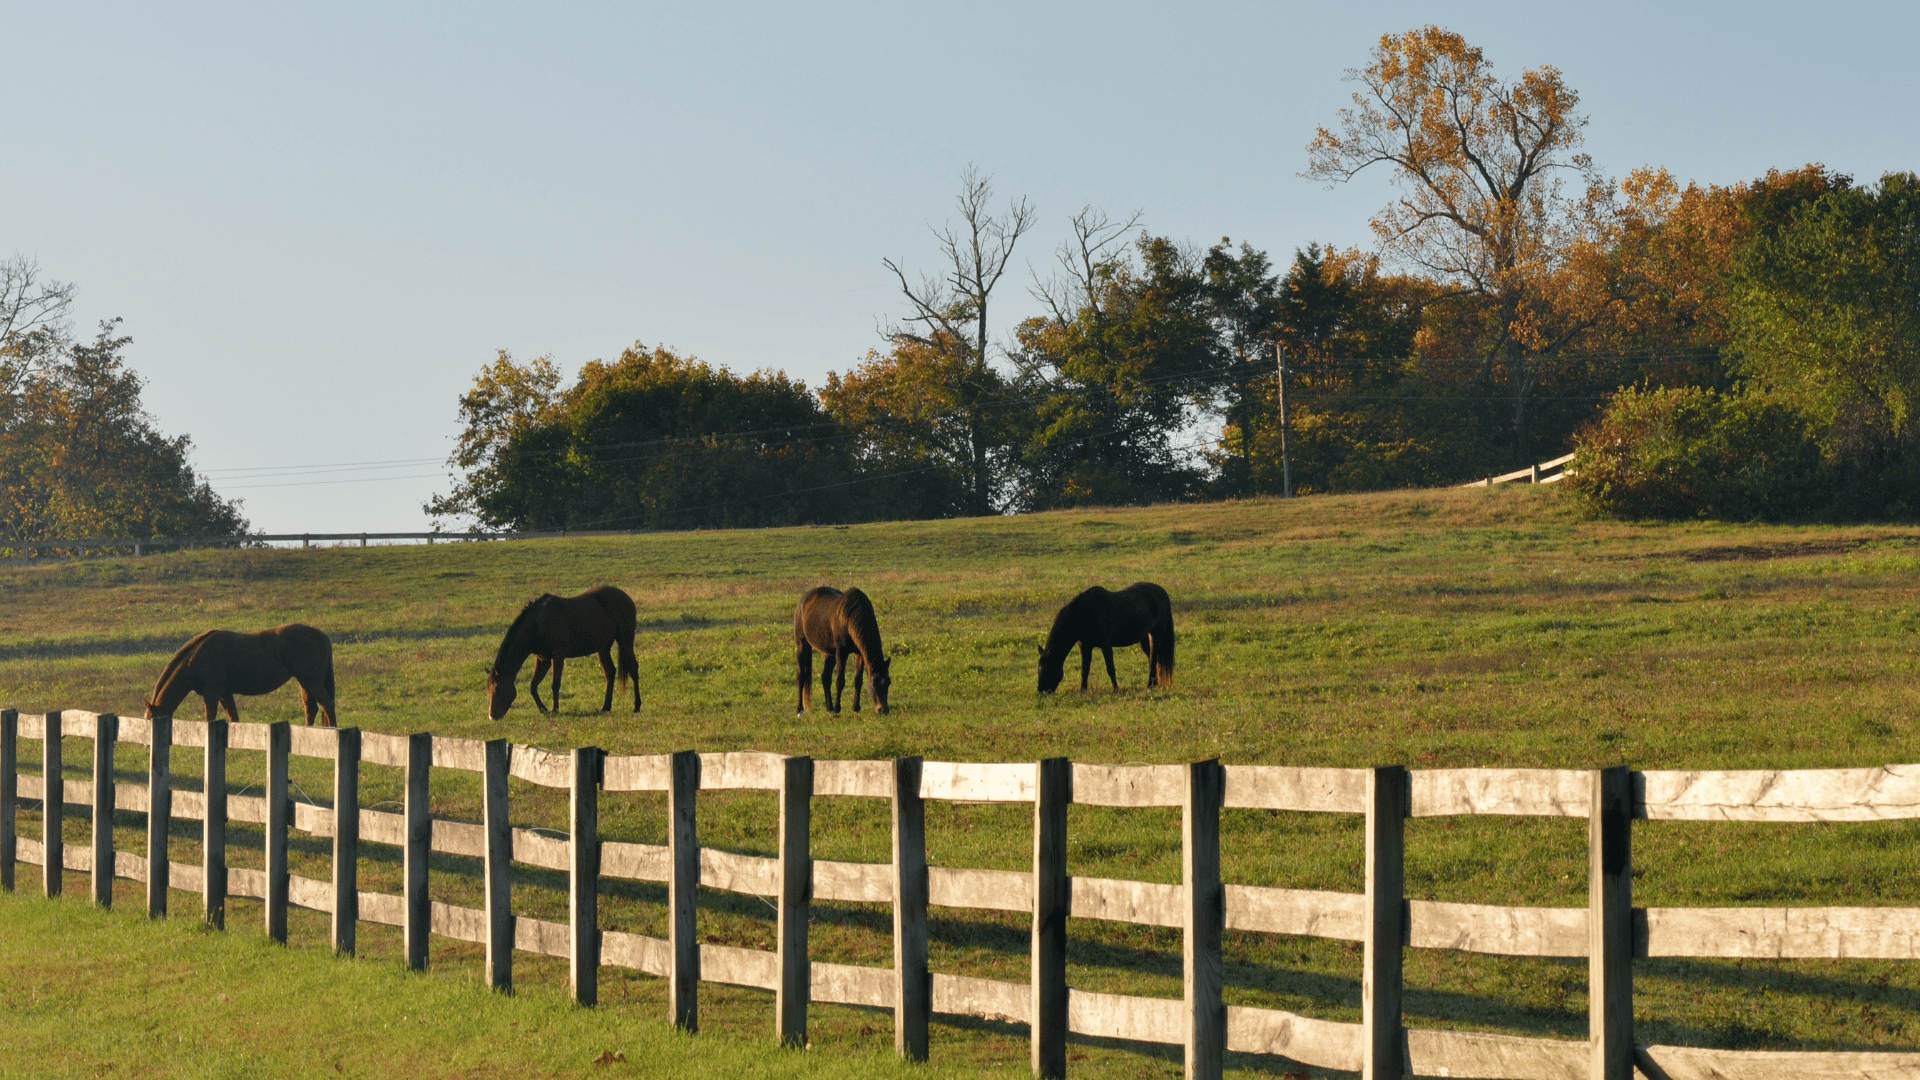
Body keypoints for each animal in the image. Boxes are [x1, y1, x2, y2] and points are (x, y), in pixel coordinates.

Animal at [144, 622, 339, 722]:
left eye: (150, 719)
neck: (198, 657)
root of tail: (323, 636)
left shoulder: (212, 694)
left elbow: (210, 718)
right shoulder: (225, 694)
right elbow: (233, 717)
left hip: (311, 682)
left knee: (327, 704)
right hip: (305, 683)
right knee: (312, 708)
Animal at [487, 584, 645, 718]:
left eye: (497, 689)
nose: (492, 716)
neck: (538, 623)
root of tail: (626, 597)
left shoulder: (558, 655)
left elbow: (555, 684)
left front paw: (555, 709)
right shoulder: (543, 659)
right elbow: (533, 686)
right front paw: (543, 709)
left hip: (625, 641)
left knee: (633, 669)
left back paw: (636, 706)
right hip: (603, 648)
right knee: (610, 672)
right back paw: (606, 707)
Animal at [1036, 580, 1167, 687]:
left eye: (1047, 670)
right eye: (1039, 669)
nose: (1041, 691)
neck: (1085, 614)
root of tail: (1161, 591)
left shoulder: (1105, 645)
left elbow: (1110, 668)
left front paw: (1116, 689)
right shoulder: (1085, 647)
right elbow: (1084, 670)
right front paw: (1083, 691)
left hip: (1156, 634)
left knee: (1154, 658)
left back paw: (1150, 685)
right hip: (1144, 638)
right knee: (1152, 658)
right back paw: (1154, 684)